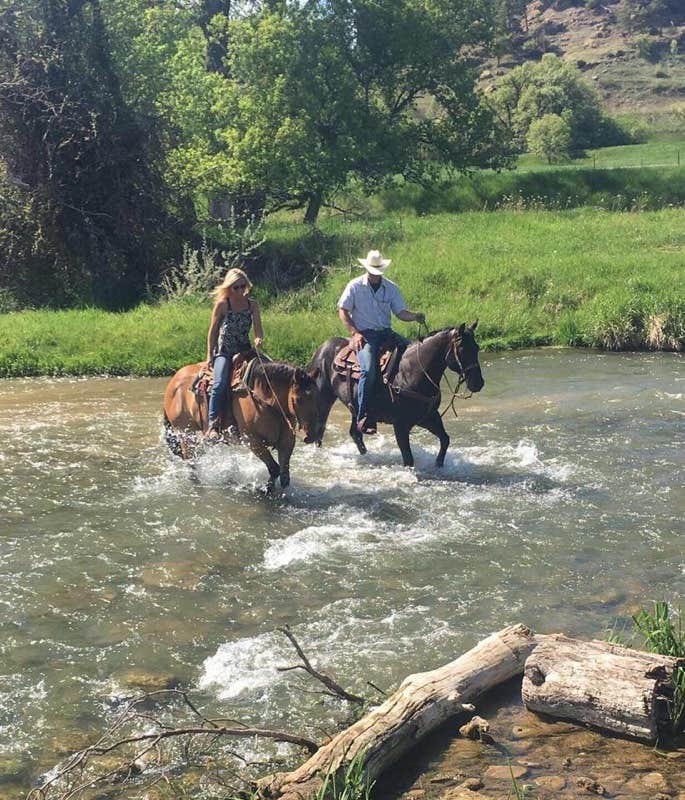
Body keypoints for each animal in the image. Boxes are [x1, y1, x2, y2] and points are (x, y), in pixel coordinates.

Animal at [163, 360, 320, 490]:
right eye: (298, 399)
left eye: (317, 396)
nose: (310, 436)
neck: (265, 400)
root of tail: (173, 381)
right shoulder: (253, 440)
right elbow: (274, 468)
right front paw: (266, 490)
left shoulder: (287, 441)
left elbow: (284, 475)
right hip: (184, 433)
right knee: (190, 461)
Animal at [308, 320, 484, 466]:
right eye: (462, 349)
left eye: (476, 348)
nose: (478, 383)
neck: (411, 373)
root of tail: (323, 347)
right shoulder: (401, 425)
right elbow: (408, 459)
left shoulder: (428, 417)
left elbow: (445, 439)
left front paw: (439, 464)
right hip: (324, 400)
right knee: (319, 430)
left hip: (355, 408)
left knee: (355, 433)